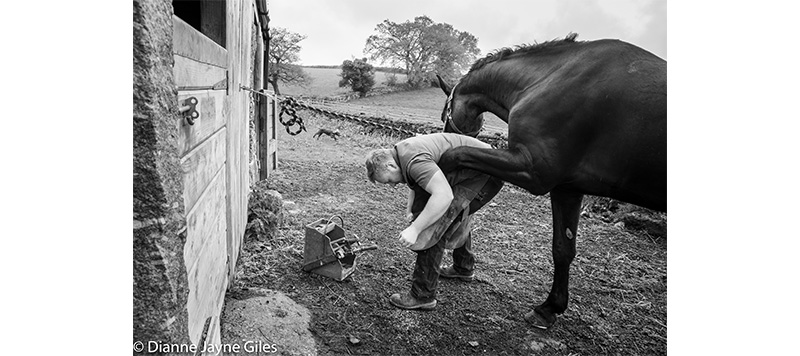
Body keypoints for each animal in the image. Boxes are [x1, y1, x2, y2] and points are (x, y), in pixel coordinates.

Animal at [434, 33, 664, 328]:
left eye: (444, 114)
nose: (445, 132)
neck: (546, 79)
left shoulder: (533, 171)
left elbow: (456, 156)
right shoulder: (567, 188)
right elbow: (562, 249)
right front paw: (550, 307)